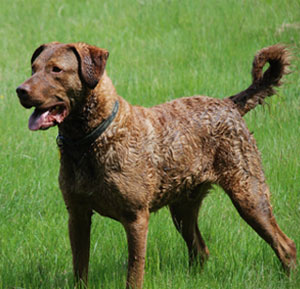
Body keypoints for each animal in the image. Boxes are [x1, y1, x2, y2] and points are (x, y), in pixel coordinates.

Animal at [15, 41, 296, 286]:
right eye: (33, 68)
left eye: (56, 69)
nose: (20, 90)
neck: (91, 140)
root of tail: (229, 104)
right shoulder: (77, 214)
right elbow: (80, 269)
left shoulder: (136, 217)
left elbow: (134, 272)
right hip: (183, 207)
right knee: (200, 250)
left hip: (249, 194)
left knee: (286, 245)